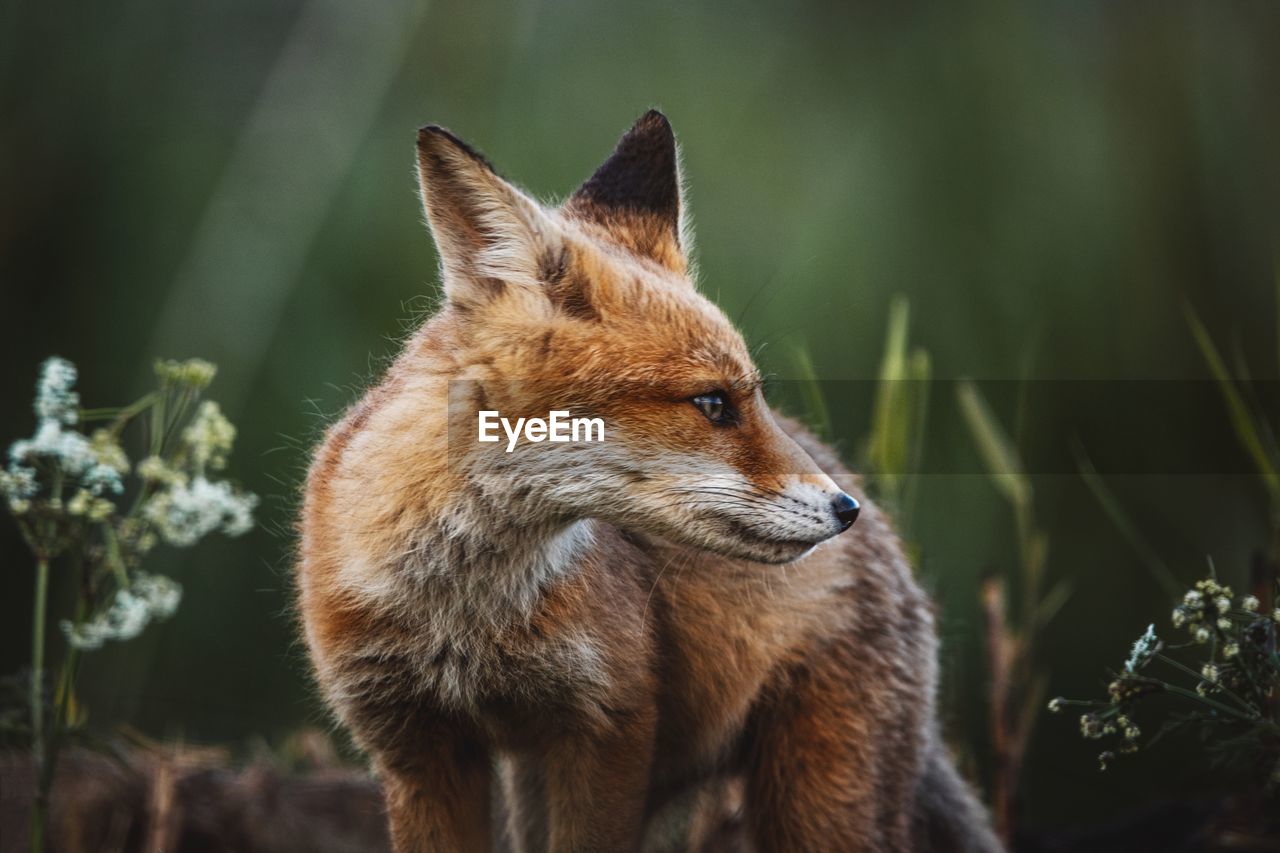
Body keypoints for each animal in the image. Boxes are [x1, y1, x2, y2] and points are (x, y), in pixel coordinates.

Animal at [299, 112, 998, 850]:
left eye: (750, 396)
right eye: (713, 403)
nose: (846, 507)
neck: (462, 612)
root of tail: (898, 557)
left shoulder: (610, 728)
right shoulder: (416, 747)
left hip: (816, 807)